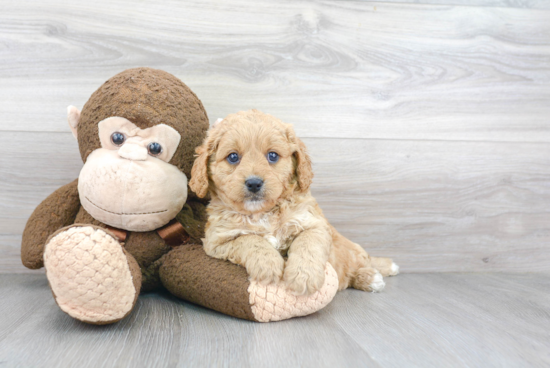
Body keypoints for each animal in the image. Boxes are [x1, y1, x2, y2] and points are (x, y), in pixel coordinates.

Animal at [190, 110, 396, 296]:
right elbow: (250, 240)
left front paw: (303, 277)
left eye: (272, 156)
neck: (263, 213)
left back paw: (374, 275)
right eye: (233, 157)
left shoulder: (314, 225)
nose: (254, 183)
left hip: (352, 251)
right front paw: (268, 264)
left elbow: (307, 245)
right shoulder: (217, 241)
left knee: (362, 262)